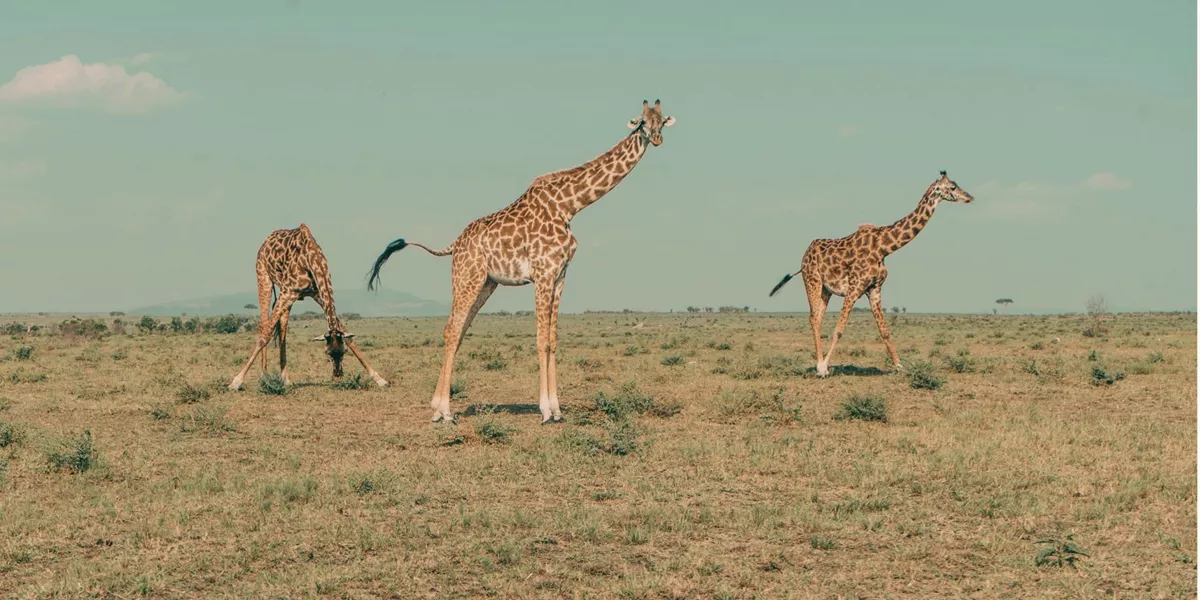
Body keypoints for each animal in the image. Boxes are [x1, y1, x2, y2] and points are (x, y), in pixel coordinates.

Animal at [228, 223, 388, 391]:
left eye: (343, 351)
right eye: (327, 353)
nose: (337, 376)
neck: (312, 259)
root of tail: (267, 240)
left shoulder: (316, 293)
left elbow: (348, 336)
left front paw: (379, 379)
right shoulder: (288, 292)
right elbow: (265, 336)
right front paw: (236, 382)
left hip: (285, 295)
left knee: (282, 328)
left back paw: (285, 378)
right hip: (263, 276)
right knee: (264, 324)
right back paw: (264, 376)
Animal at [367, 100, 676, 423]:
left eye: (662, 121)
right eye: (642, 122)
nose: (656, 138)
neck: (570, 206)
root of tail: (455, 245)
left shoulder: (560, 276)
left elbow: (553, 339)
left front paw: (558, 409)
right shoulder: (543, 273)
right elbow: (541, 340)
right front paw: (546, 411)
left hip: (486, 284)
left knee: (459, 331)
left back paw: (437, 408)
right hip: (467, 277)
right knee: (451, 330)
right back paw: (445, 411)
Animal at [769, 171, 974, 377]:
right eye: (953, 187)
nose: (970, 197)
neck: (884, 247)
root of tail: (805, 254)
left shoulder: (874, 289)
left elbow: (884, 331)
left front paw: (900, 366)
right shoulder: (854, 287)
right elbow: (839, 330)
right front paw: (824, 367)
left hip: (826, 289)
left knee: (818, 318)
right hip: (812, 280)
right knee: (813, 318)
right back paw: (820, 367)